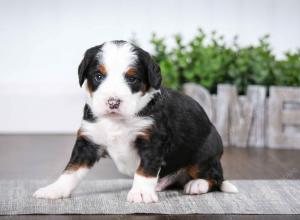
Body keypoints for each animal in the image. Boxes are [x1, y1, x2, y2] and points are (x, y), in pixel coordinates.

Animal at [33, 40, 237, 203]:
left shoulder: (152, 140)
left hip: (204, 152)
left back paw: (197, 185)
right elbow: (71, 170)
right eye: (98, 76)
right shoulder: (89, 140)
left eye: (132, 78)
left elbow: (145, 170)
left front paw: (140, 193)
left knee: (215, 178)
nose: (113, 102)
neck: (116, 121)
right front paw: (54, 189)